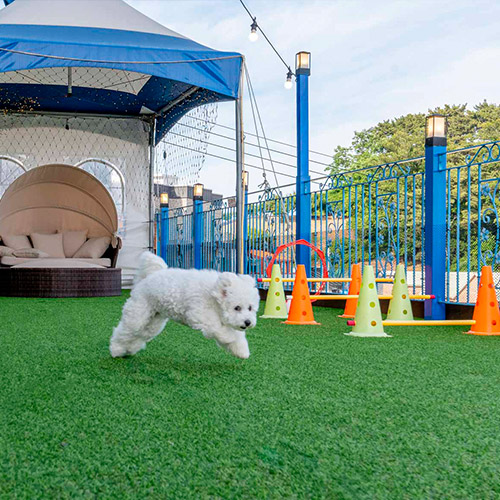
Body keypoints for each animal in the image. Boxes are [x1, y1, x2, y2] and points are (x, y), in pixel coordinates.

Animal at [111, 254, 260, 360]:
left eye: (250, 308)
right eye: (237, 308)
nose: (248, 322)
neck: (213, 294)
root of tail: (150, 276)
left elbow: (236, 336)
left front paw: (241, 351)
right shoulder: (200, 313)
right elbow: (222, 330)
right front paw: (229, 338)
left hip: (153, 322)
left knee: (139, 335)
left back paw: (128, 350)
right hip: (138, 314)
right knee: (125, 331)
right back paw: (116, 350)